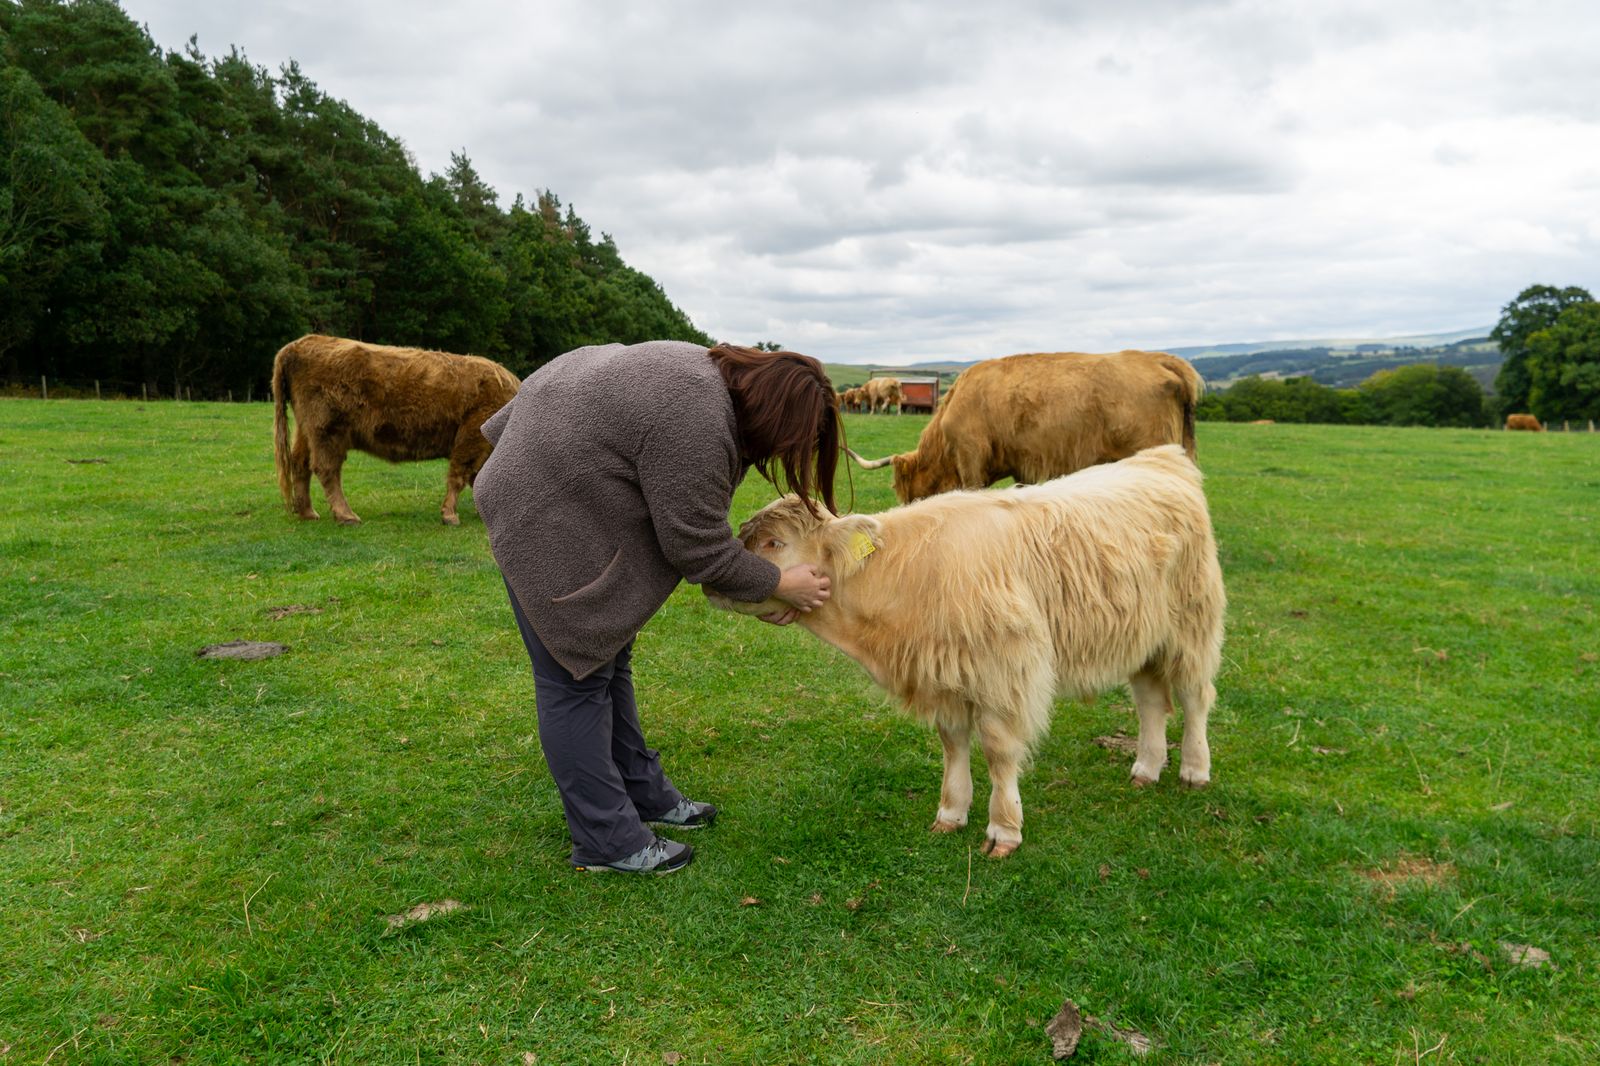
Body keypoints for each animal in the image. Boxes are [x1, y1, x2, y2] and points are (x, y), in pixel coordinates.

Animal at [271, 334, 521, 525]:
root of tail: (298, 345)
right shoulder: (472, 436)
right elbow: (460, 475)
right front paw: (450, 515)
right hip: (327, 431)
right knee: (326, 469)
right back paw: (346, 515)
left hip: (306, 430)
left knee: (300, 463)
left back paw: (308, 513)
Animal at [709, 444, 1226, 858]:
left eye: (775, 542)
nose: (714, 577)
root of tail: (1159, 458)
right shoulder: (945, 676)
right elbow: (953, 743)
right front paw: (951, 812)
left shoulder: (1004, 674)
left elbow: (998, 751)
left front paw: (1004, 829)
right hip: (1145, 637)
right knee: (1151, 701)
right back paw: (1146, 767)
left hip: (1191, 627)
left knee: (1195, 697)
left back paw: (1193, 769)